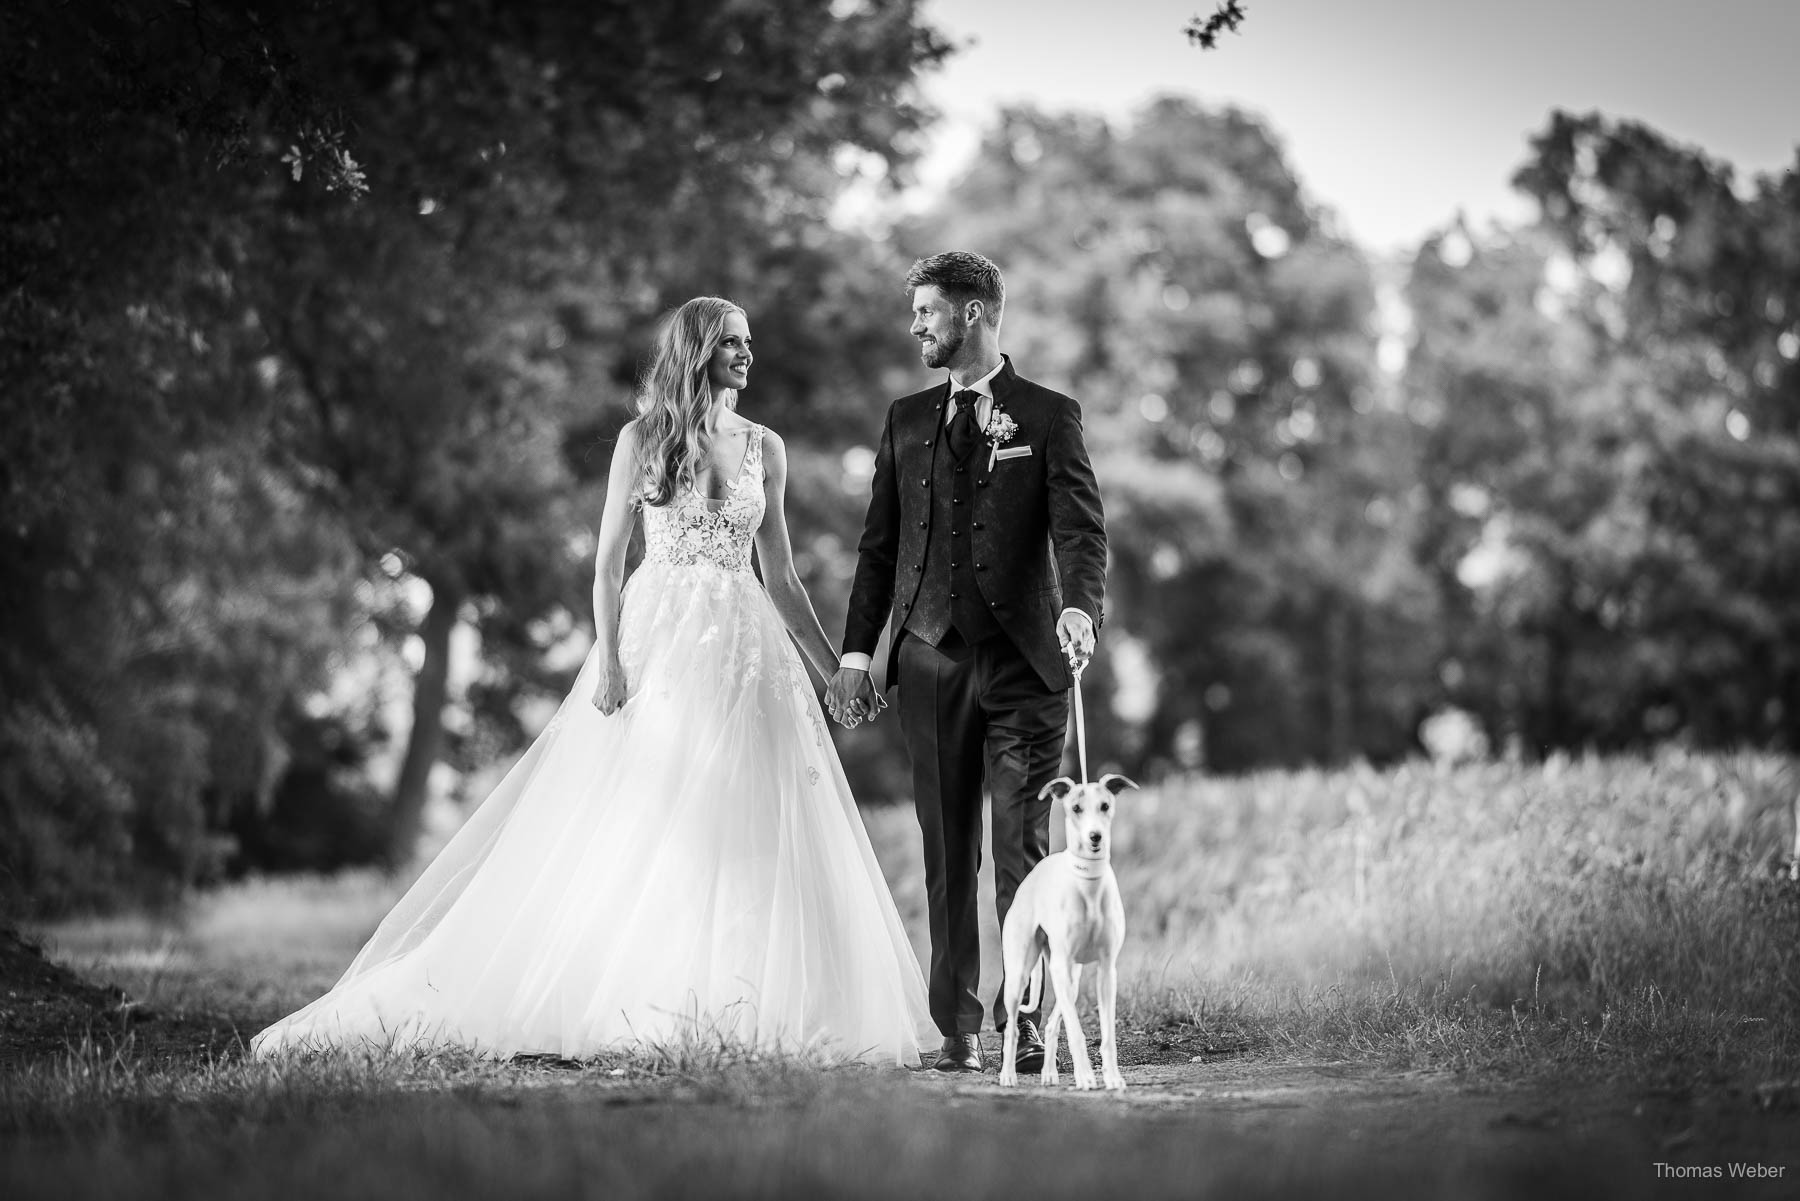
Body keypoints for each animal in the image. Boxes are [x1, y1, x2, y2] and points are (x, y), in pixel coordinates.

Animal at [1000, 774, 1137, 1094]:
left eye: (1105, 806)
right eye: (1076, 808)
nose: (1095, 837)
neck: (1088, 883)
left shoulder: (1106, 970)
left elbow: (1107, 1035)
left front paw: (1112, 1077)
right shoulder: (1060, 968)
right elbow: (1076, 1031)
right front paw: (1086, 1077)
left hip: (1070, 978)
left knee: (1052, 1024)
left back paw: (1049, 1074)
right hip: (1020, 975)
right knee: (1012, 1027)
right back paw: (1008, 1075)